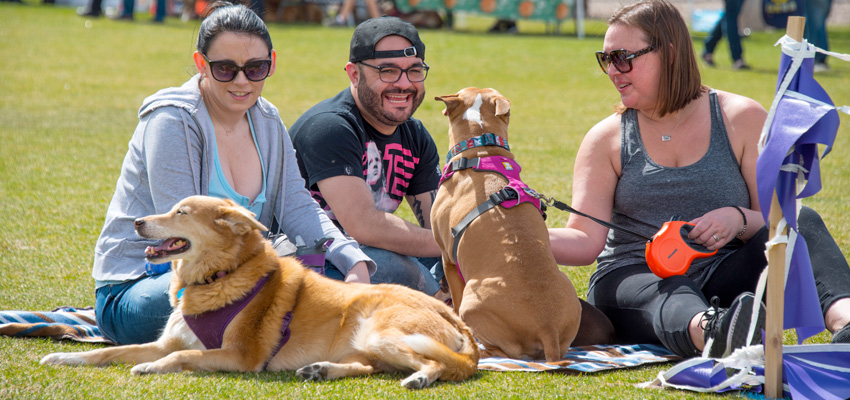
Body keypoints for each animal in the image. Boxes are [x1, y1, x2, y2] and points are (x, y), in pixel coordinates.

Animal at [41, 195, 476, 390]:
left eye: (181, 213)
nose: (137, 222)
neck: (216, 277)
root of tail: (459, 323)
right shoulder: (164, 341)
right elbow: (108, 352)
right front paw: (64, 356)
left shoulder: (240, 356)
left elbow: (182, 356)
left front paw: (150, 368)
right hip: (368, 344)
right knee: (370, 367)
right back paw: (321, 369)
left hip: (381, 332)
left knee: (435, 364)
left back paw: (420, 378)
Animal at [434, 87, 612, 362]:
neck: (481, 149)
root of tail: (547, 328)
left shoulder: (448, 261)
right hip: (568, 292)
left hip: (472, 303)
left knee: (503, 351)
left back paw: (483, 350)